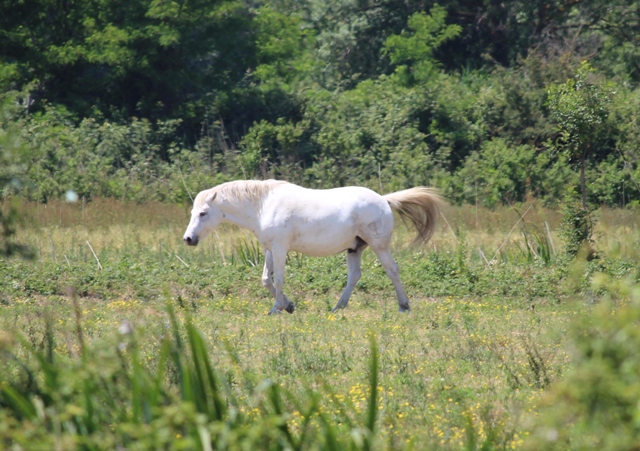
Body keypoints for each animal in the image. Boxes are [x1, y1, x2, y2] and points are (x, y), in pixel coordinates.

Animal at [182, 180, 442, 314]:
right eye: (192, 212)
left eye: (203, 213)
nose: (188, 239)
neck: (263, 205)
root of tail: (384, 200)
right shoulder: (270, 249)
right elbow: (266, 280)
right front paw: (288, 305)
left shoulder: (280, 249)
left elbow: (278, 280)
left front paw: (276, 309)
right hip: (355, 249)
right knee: (354, 276)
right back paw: (338, 307)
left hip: (379, 246)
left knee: (392, 270)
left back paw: (404, 306)